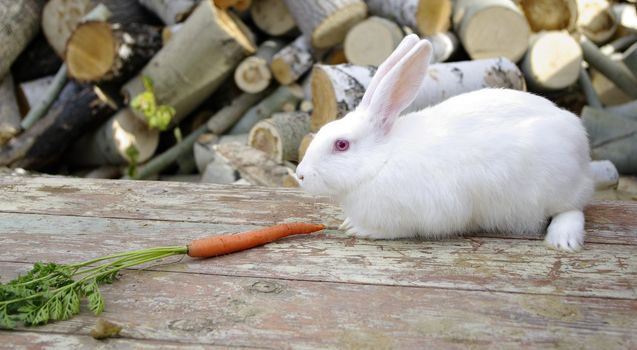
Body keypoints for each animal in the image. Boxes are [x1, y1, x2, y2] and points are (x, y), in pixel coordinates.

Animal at [296, 34, 592, 252]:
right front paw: (348, 222)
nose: (300, 175)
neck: (381, 161)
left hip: (552, 188)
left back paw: (562, 241)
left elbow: (392, 231)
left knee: (573, 209)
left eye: (341, 145)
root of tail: (579, 137)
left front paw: (358, 228)